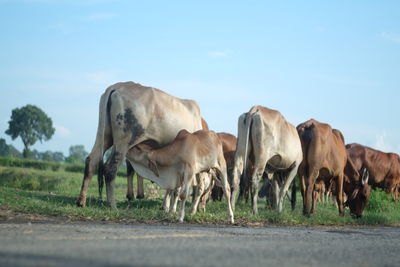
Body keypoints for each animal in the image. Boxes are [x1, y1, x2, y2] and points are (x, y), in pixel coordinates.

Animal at [77, 81, 203, 209]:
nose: (201, 207)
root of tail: (117, 86)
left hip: (105, 136)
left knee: (91, 161)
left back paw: (81, 201)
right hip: (124, 140)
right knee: (110, 168)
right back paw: (112, 205)